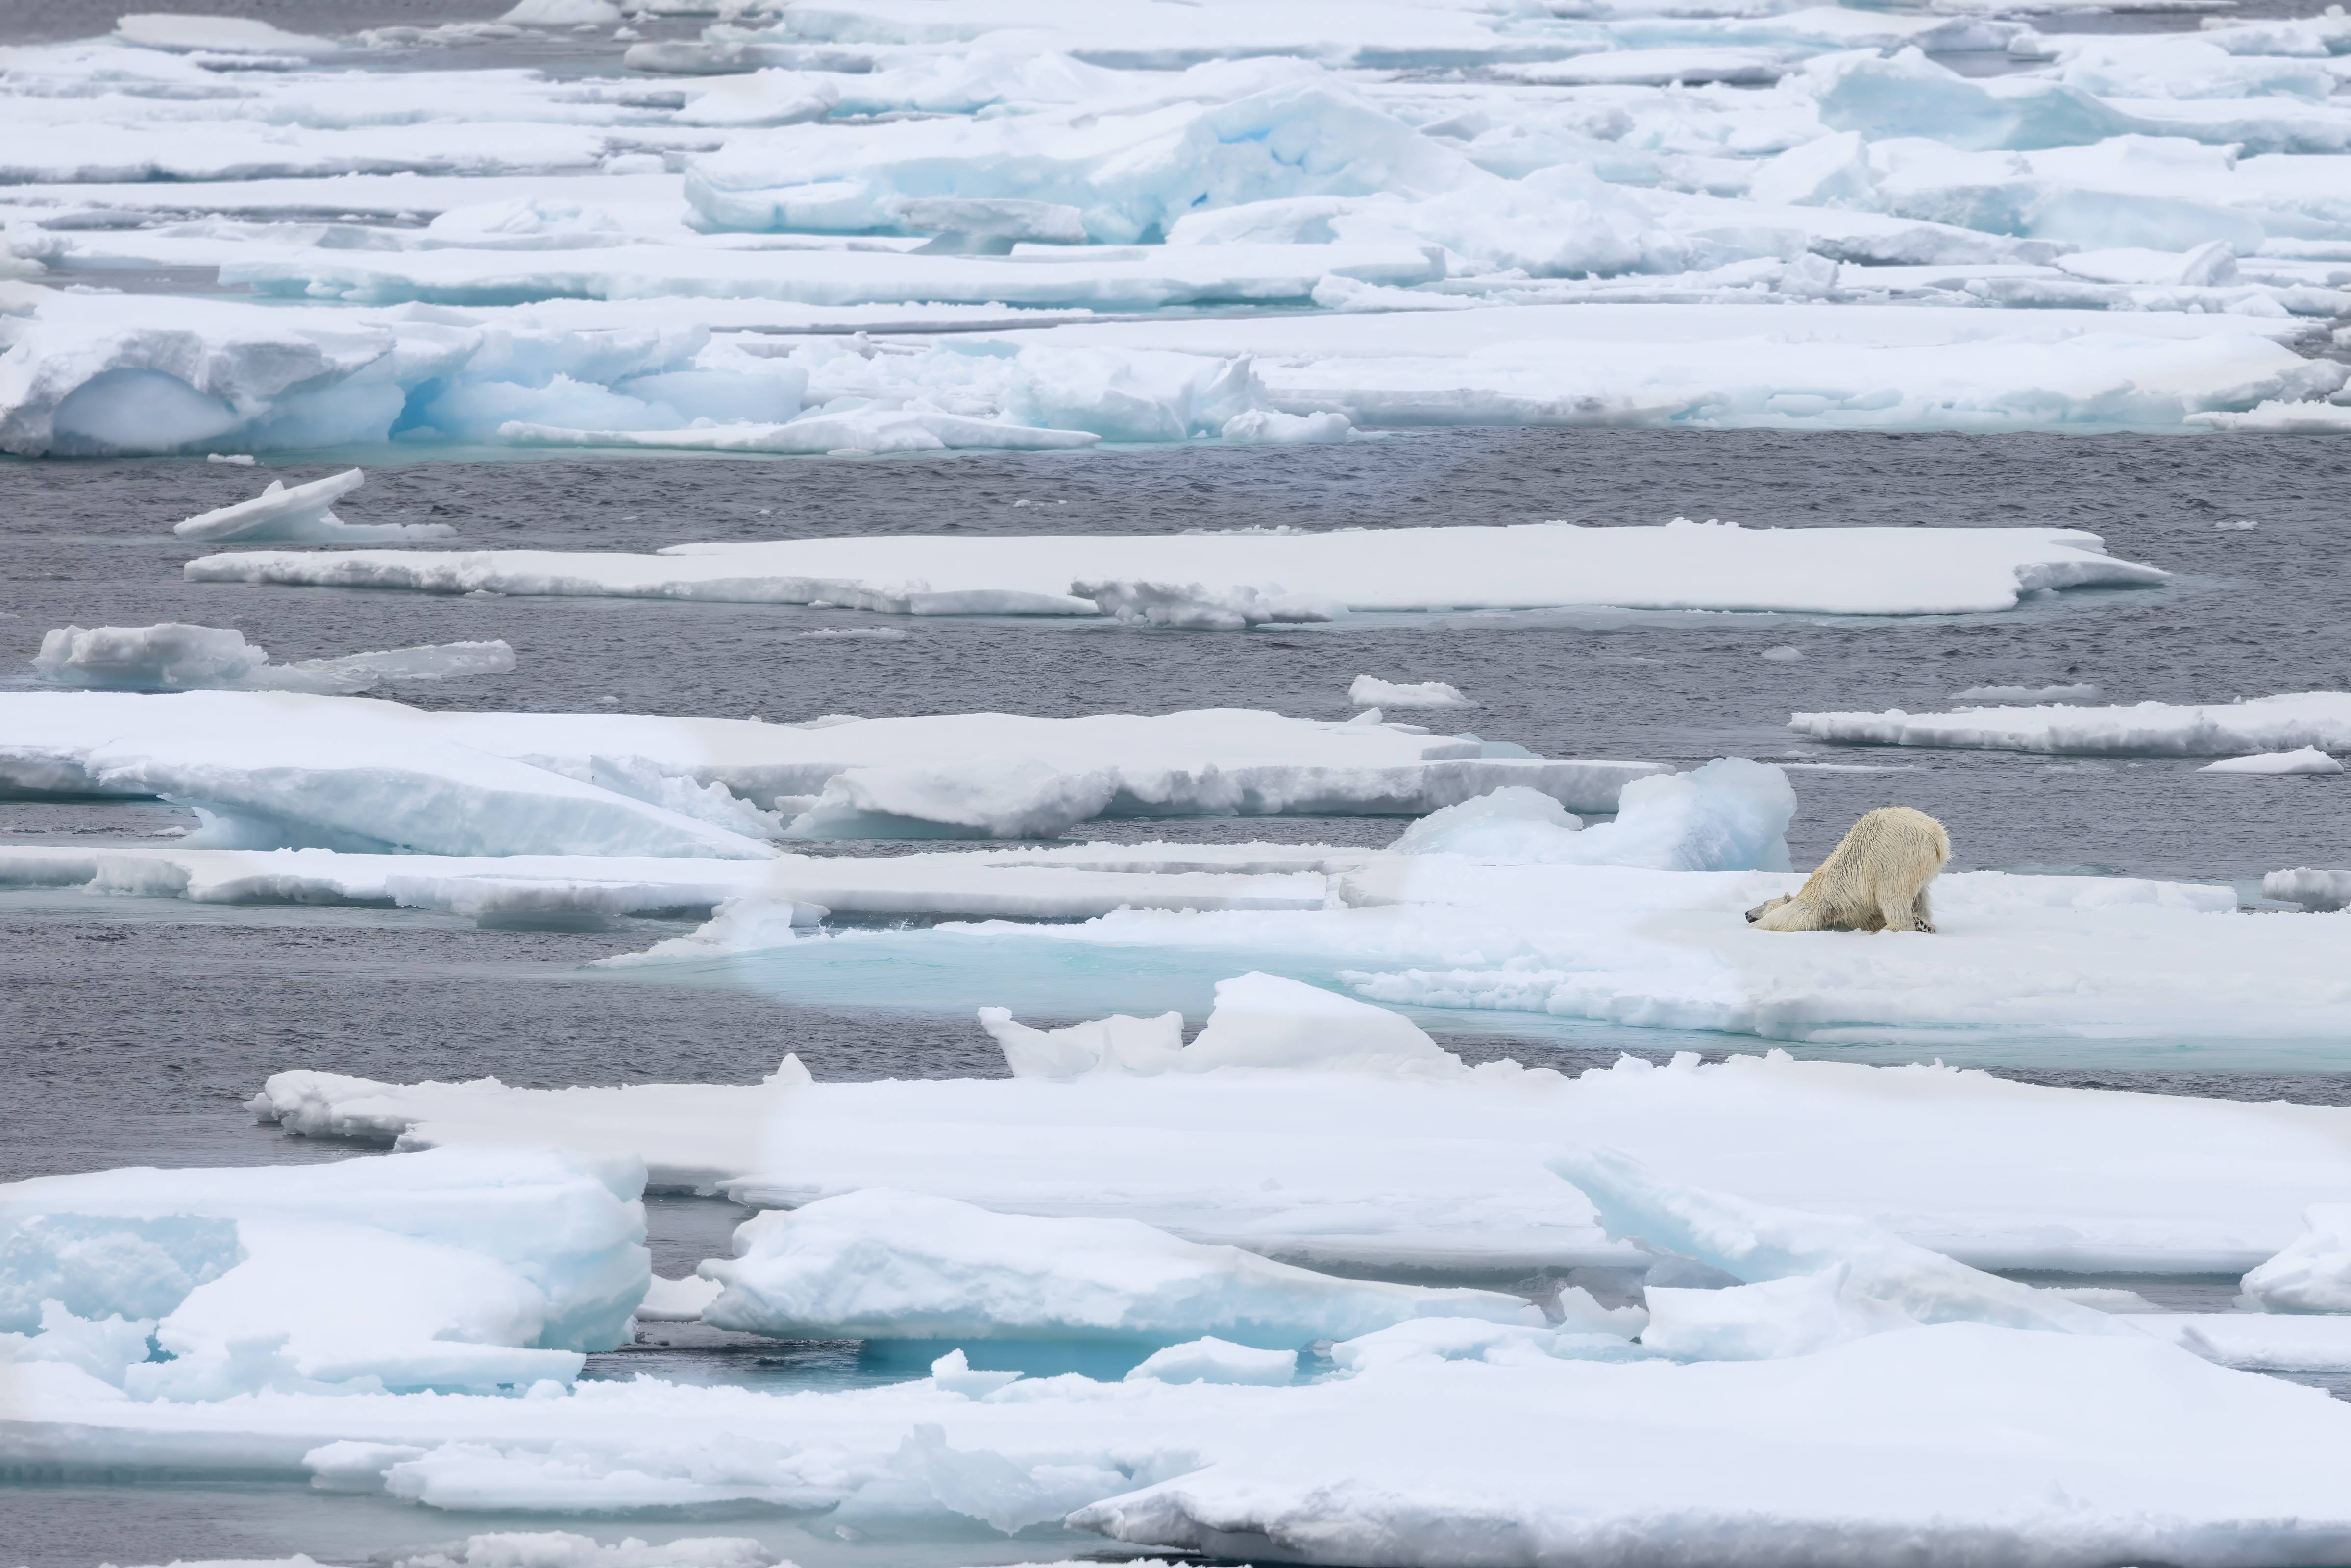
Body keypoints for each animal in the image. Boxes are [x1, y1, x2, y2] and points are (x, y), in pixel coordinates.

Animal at [1744, 806, 1951, 934]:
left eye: (1764, 903)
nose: (1747, 914)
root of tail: (1936, 834)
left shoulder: (1820, 902)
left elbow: (1789, 918)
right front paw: (1923, 924)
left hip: (1893, 858)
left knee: (1893, 896)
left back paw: (1890, 929)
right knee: (1921, 896)